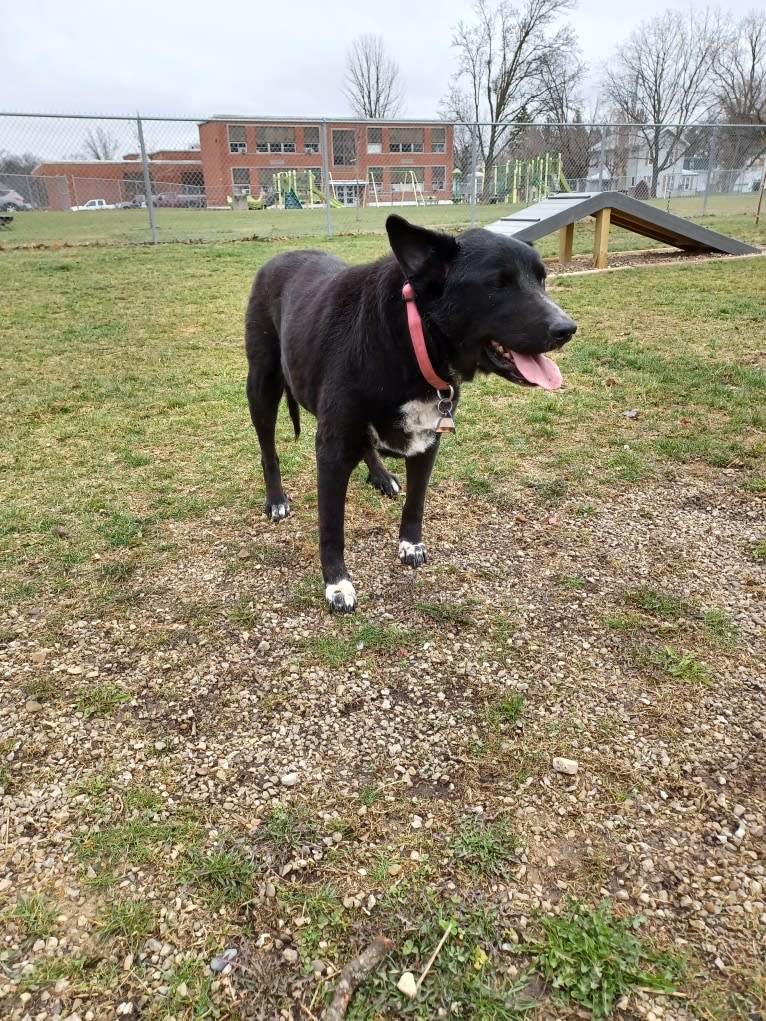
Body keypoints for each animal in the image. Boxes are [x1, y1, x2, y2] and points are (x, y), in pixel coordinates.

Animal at [246, 215, 576, 608]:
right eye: (497, 283)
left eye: (542, 279)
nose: (567, 329)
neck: (410, 338)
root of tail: (278, 257)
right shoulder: (331, 450)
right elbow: (331, 527)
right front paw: (337, 583)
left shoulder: (427, 442)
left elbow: (416, 503)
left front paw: (410, 545)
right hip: (262, 386)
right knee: (268, 450)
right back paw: (276, 500)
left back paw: (379, 475)